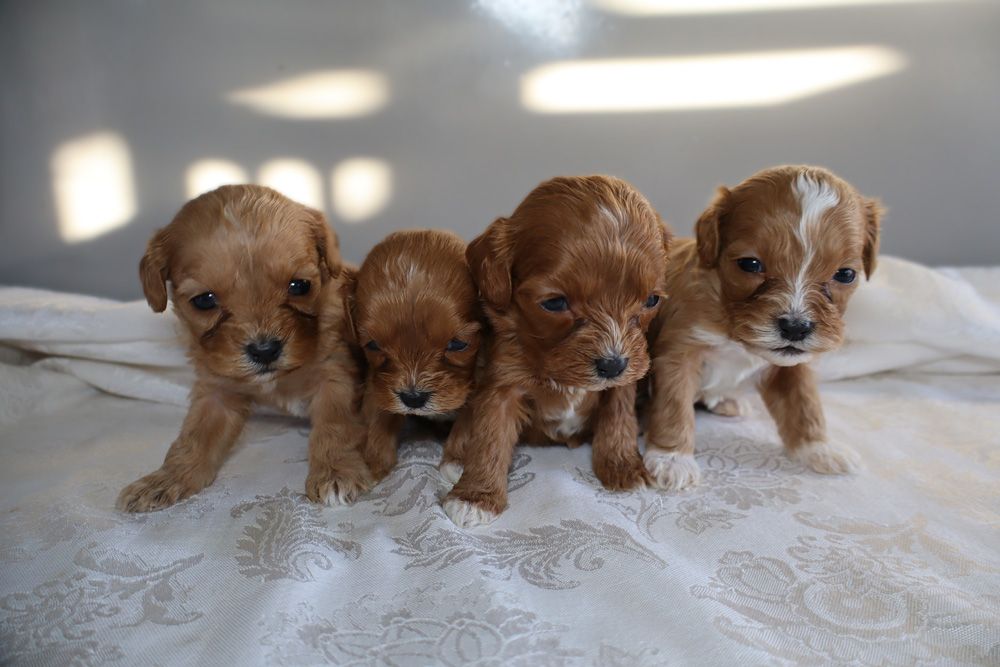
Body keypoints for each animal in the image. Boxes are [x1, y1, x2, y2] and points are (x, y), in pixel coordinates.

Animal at [117, 184, 372, 512]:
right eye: (204, 301)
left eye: (300, 286)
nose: (264, 350)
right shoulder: (216, 392)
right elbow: (193, 438)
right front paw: (166, 478)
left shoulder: (335, 376)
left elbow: (334, 427)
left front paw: (336, 471)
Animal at [341, 229, 482, 482]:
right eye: (373, 345)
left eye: (458, 344)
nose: (413, 398)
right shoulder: (378, 380)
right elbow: (378, 414)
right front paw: (373, 462)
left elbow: (469, 420)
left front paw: (456, 461)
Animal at [440, 175, 672, 528]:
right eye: (554, 303)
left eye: (652, 300)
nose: (612, 365)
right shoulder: (503, 383)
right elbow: (490, 436)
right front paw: (475, 497)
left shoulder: (626, 377)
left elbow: (619, 418)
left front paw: (623, 466)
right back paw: (455, 459)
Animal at [643, 165, 881, 490]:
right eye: (750, 264)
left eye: (845, 274)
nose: (795, 327)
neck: (734, 330)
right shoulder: (679, 353)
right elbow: (674, 407)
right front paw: (672, 459)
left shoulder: (793, 367)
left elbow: (805, 404)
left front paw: (820, 447)